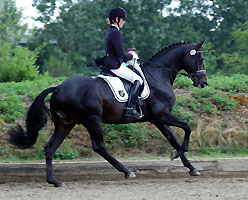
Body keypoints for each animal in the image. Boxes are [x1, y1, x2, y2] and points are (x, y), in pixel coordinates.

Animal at [8, 40, 207, 188]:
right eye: (200, 57)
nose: (203, 82)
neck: (158, 76)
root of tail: (58, 88)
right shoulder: (161, 115)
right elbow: (187, 128)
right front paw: (177, 154)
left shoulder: (158, 119)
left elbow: (173, 139)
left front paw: (191, 167)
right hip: (92, 120)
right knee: (99, 147)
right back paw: (127, 172)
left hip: (66, 123)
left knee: (50, 148)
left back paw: (54, 181)